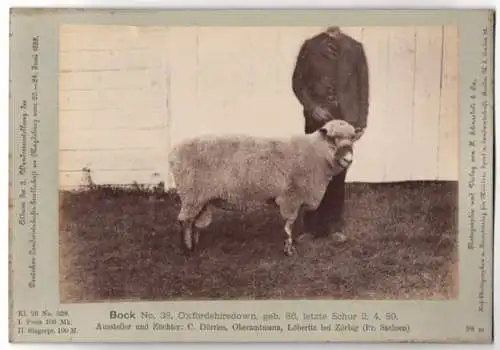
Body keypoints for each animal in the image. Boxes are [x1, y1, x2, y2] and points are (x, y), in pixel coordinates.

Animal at [168, 119, 360, 256]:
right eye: (333, 138)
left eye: (352, 139)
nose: (348, 159)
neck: (316, 153)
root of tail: (173, 153)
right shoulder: (291, 196)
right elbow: (289, 224)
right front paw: (289, 249)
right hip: (191, 194)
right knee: (184, 221)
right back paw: (187, 250)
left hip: (200, 198)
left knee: (194, 222)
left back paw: (195, 245)